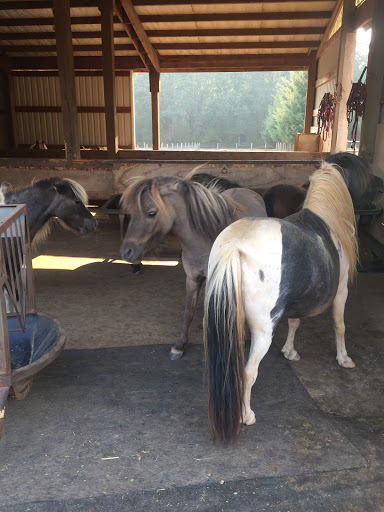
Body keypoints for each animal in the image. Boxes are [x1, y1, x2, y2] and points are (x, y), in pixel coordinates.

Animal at [206, 162, 358, 442]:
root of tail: (236, 245)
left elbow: (295, 322)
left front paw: (289, 351)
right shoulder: (341, 292)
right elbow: (339, 325)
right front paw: (343, 359)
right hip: (262, 333)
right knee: (248, 372)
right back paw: (246, 415)